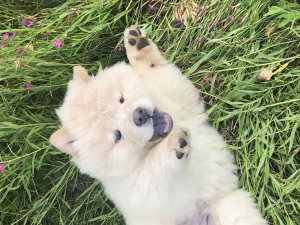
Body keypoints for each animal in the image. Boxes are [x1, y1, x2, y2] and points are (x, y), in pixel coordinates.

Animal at [49, 26, 268, 225]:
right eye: (117, 136)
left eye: (121, 99)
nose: (139, 115)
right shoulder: (141, 192)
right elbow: (156, 167)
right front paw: (174, 143)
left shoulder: (172, 91)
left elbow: (153, 68)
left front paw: (137, 44)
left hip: (231, 207)